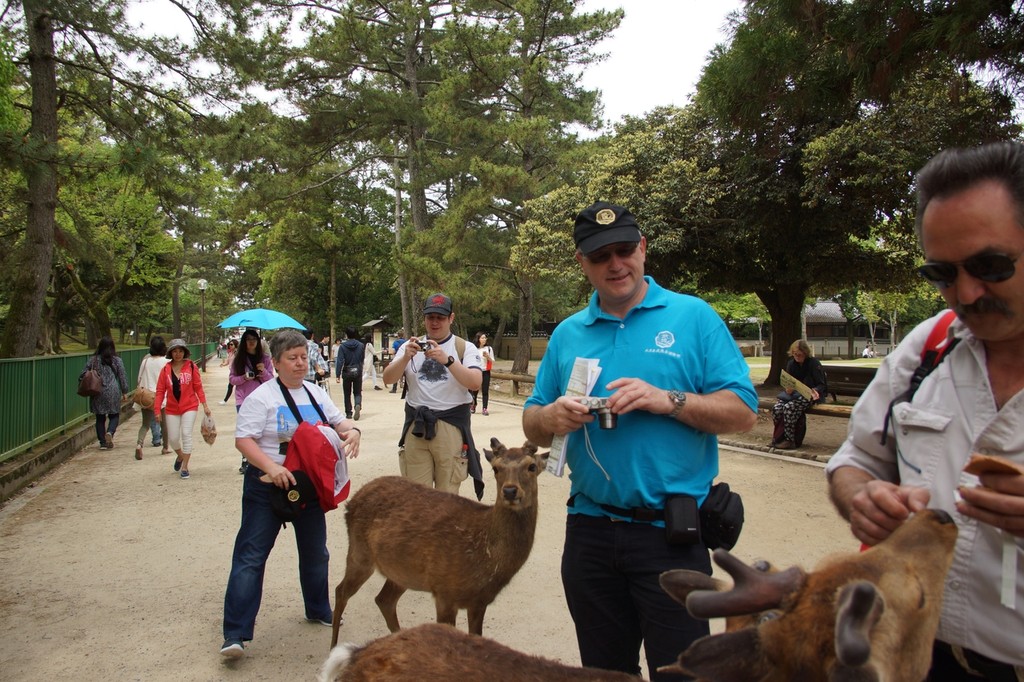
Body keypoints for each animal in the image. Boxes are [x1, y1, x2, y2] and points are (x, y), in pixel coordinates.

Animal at [331, 438, 548, 647]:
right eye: (496, 468)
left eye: (531, 466)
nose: (510, 491)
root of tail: (352, 500)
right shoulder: (444, 592)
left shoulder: (479, 602)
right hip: (359, 554)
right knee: (341, 591)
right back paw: (333, 647)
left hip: (401, 572)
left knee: (383, 600)